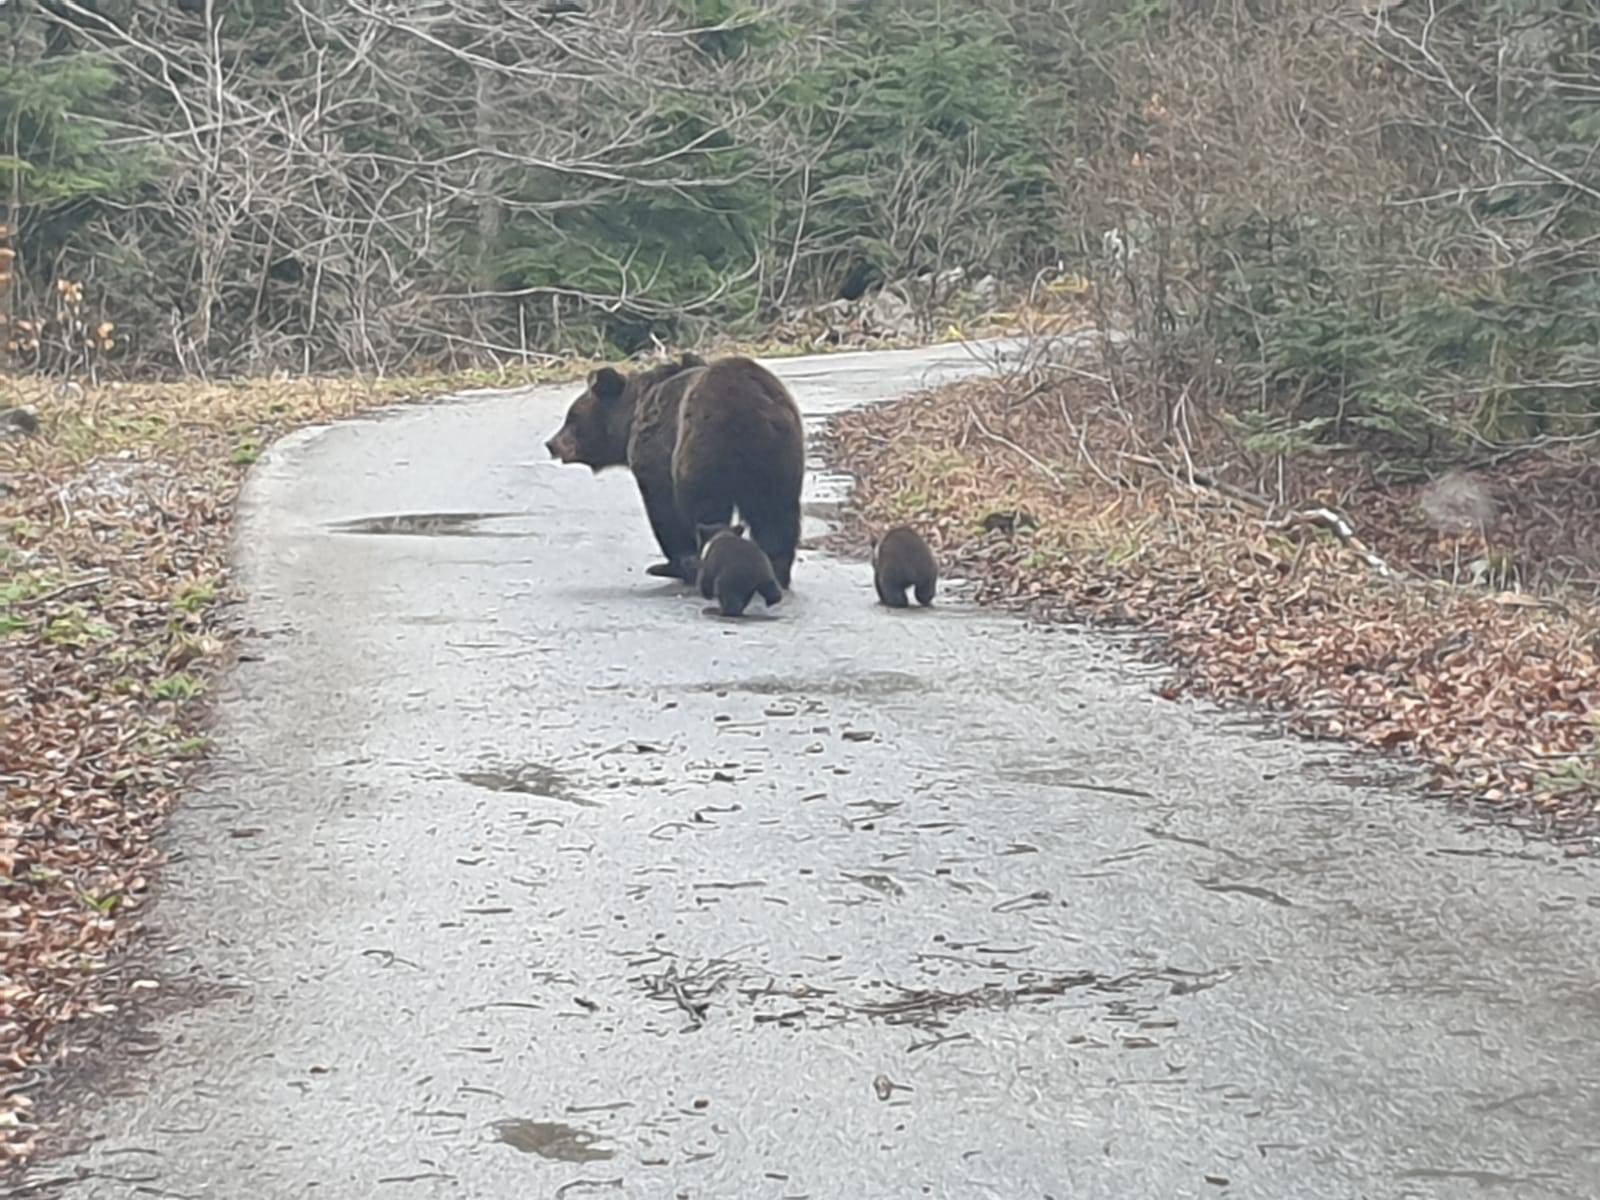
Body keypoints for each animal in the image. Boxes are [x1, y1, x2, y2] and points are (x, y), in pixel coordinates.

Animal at [550, 352, 806, 588]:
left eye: (572, 417)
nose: (551, 444)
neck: (630, 419)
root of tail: (750, 403)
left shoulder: (655, 454)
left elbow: (664, 510)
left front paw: (670, 566)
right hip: (779, 454)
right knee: (776, 512)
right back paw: (778, 570)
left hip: (704, 447)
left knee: (709, 509)